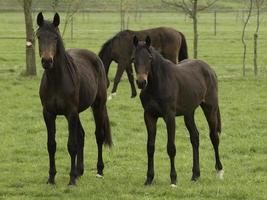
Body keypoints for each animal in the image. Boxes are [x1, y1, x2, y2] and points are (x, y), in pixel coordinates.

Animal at [36, 11, 112, 185]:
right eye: (38, 36)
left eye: (55, 37)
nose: (47, 61)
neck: (56, 81)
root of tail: (96, 58)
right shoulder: (48, 114)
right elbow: (51, 145)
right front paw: (51, 178)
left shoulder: (70, 113)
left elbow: (71, 145)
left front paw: (71, 180)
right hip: (77, 113)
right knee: (82, 135)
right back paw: (79, 171)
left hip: (97, 106)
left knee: (99, 135)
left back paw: (99, 170)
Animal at [133, 35, 224, 186]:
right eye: (134, 58)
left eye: (150, 58)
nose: (141, 82)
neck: (157, 84)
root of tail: (210, 69)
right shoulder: (149, 116)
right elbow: (150, 147)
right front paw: (149, 178)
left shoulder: (169, 116)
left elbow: (171, 148)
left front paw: (173, 179)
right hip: (189, 113)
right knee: (195, 138)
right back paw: (195, 175)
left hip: (210, 108)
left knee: (214, 137)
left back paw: (219, 170)